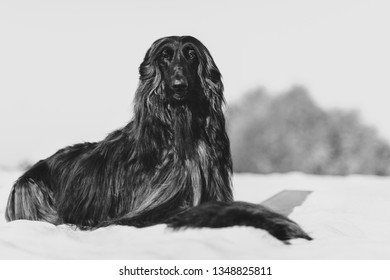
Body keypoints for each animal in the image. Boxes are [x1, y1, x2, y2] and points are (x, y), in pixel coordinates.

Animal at [4, 35, 312, 241]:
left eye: (191, 55)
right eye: (164, 56)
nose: (178, 86)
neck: (181, 130)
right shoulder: (148, 209)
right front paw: (284, 226)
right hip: (29, 188)